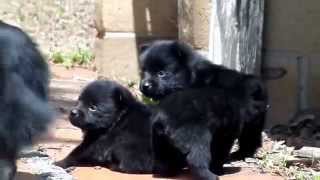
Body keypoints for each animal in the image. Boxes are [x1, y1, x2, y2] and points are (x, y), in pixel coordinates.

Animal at [139, 40, 272, 162]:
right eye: (144, 72)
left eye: (161, 73)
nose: (144, 86)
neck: (193, 79)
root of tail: (257, 84)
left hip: (250, 121)